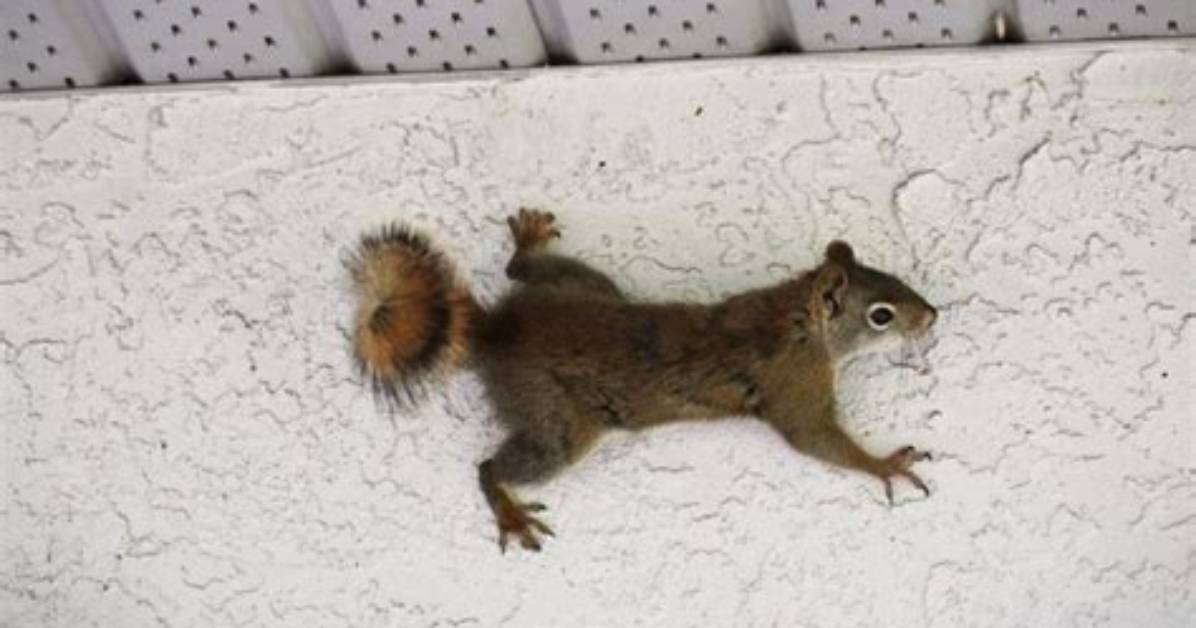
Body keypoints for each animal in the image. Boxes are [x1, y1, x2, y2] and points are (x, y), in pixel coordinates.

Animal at [349, 208, 939, 552]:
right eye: (881, 315)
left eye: (895, 278)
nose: (932, 316)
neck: (795, 318)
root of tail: (497, 333)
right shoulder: (793, 386)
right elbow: (815, 439)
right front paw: (885, 464)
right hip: (556, 423)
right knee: (491, 467)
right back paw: (511, 513)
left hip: (584, 284)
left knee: (521, 272)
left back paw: (529, 243)